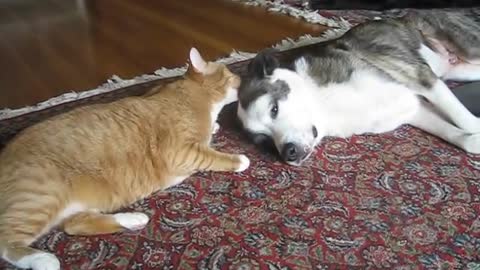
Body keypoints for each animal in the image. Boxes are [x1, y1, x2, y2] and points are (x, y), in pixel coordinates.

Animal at [0, 47, 249, 268]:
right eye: (230, 75)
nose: (242, 78)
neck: (193, 95)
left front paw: (215, 127)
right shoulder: (179, 151)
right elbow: (211, 156)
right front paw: (239, 160)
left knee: (75, 225)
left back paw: (133, 219)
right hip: (40, 196)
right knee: (6, 241)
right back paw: (44, 261)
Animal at [238, 9, 480, 166]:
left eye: (274, 109)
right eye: (263, 141)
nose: (288, 153)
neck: (324, 106)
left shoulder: (422, 78)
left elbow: (463, 119)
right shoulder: (415, 110)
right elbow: (456, 134)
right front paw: (474, 141)